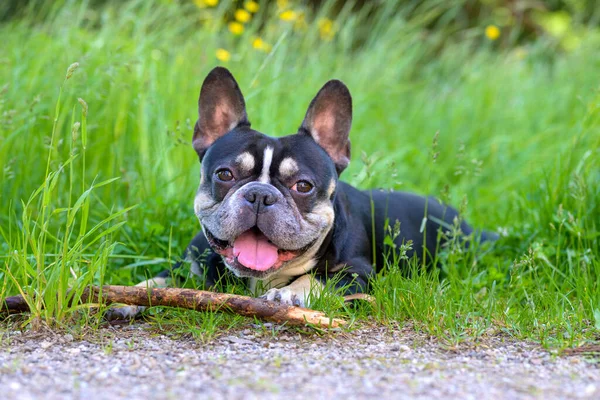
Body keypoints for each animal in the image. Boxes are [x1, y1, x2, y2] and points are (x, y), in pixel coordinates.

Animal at [110, 67, 494, 318]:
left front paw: (288, 294)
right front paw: (132, 295)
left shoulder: (358, 273)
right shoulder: (189, 264)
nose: (260, 195)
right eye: (225, 174)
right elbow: (158, 281)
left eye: (303, 186)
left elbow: (316, 279)